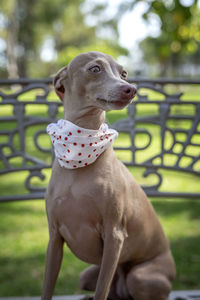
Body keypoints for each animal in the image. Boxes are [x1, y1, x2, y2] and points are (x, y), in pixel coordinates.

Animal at [41, 52, 175, 300]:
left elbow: (101, 290)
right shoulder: (54, 238)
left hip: (140, 276)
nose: (130, 89)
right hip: (88, 275)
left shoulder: (114, 235)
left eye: (124, 73)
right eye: (95, 69)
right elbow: (47, 287)